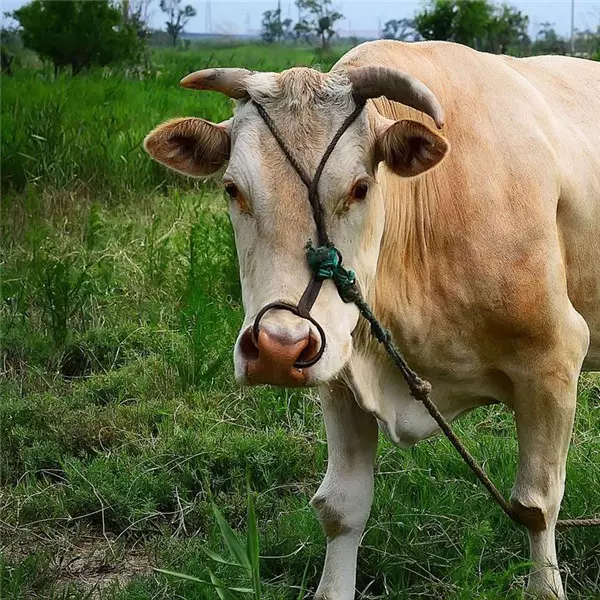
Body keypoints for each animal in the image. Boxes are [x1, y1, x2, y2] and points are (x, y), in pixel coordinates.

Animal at [144, 39, 600, 596]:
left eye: (360, 188)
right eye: (233, 189)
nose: (278, 347)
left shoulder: (553, 359)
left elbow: (536, 505)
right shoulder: (339, 370)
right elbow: (340, 508)